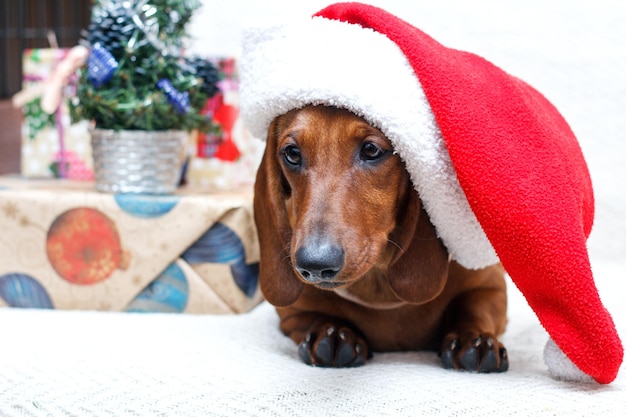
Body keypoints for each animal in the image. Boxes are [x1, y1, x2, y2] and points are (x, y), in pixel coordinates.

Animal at [254, 105, 508, 372]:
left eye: (371, 150)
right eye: (292, 153)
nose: (314, 264)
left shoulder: (490, 286)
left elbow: (474, 308)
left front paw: (473, 337)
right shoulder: (293, 311)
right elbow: (314, 317)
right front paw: (331, 333)